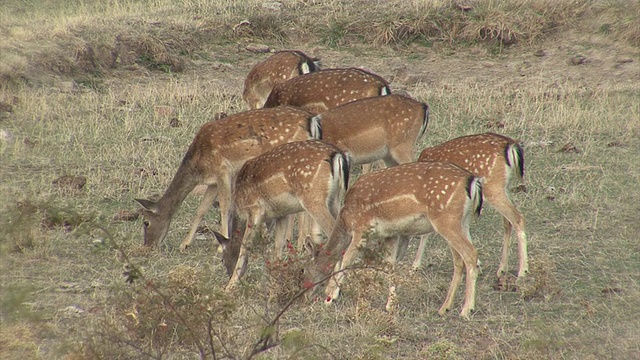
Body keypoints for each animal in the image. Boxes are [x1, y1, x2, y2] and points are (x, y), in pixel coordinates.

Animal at [135, 105, 316, 249]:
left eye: (146, 222)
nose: (147, 246)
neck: (199, 164)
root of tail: (311, 120)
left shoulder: (223, 170)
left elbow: (225, 206)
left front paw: (221, 246)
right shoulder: (212, 182)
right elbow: (201, 209)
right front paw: (184, 244)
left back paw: (300, 243)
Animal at [212, 139, 348, 292]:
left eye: (222, 259)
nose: (229, 274)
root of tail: (338, 155)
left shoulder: (255, 209)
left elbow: (244, 246)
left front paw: (229, 286)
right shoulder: (282, 215)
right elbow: (278, 247)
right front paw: (274, 284)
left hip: (314, 199)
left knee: (338, 236)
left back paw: (331, 288)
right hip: (335, 200)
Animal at [304, 162, 484, 318]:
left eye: (304, 270)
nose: (305, 294)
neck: (346, 220)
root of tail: (472, 182)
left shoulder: (361, 229)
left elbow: (346, 259)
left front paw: (330, 297)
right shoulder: (391, 234)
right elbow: (390, 264)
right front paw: (390, 305)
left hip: (446, 219)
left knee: (470, 254)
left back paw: (466, 310)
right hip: (462, 221)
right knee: (460, 260)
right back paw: (444, 308)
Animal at [416, 133, 528, 278]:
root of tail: (511, 145)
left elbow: (426, 233)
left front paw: (415, 264)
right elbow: (465, 228)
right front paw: (478, 266)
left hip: (492, 187)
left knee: (517, 217)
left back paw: (523, 270)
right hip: (504, 187)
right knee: (507, 221)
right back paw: (502, 268)